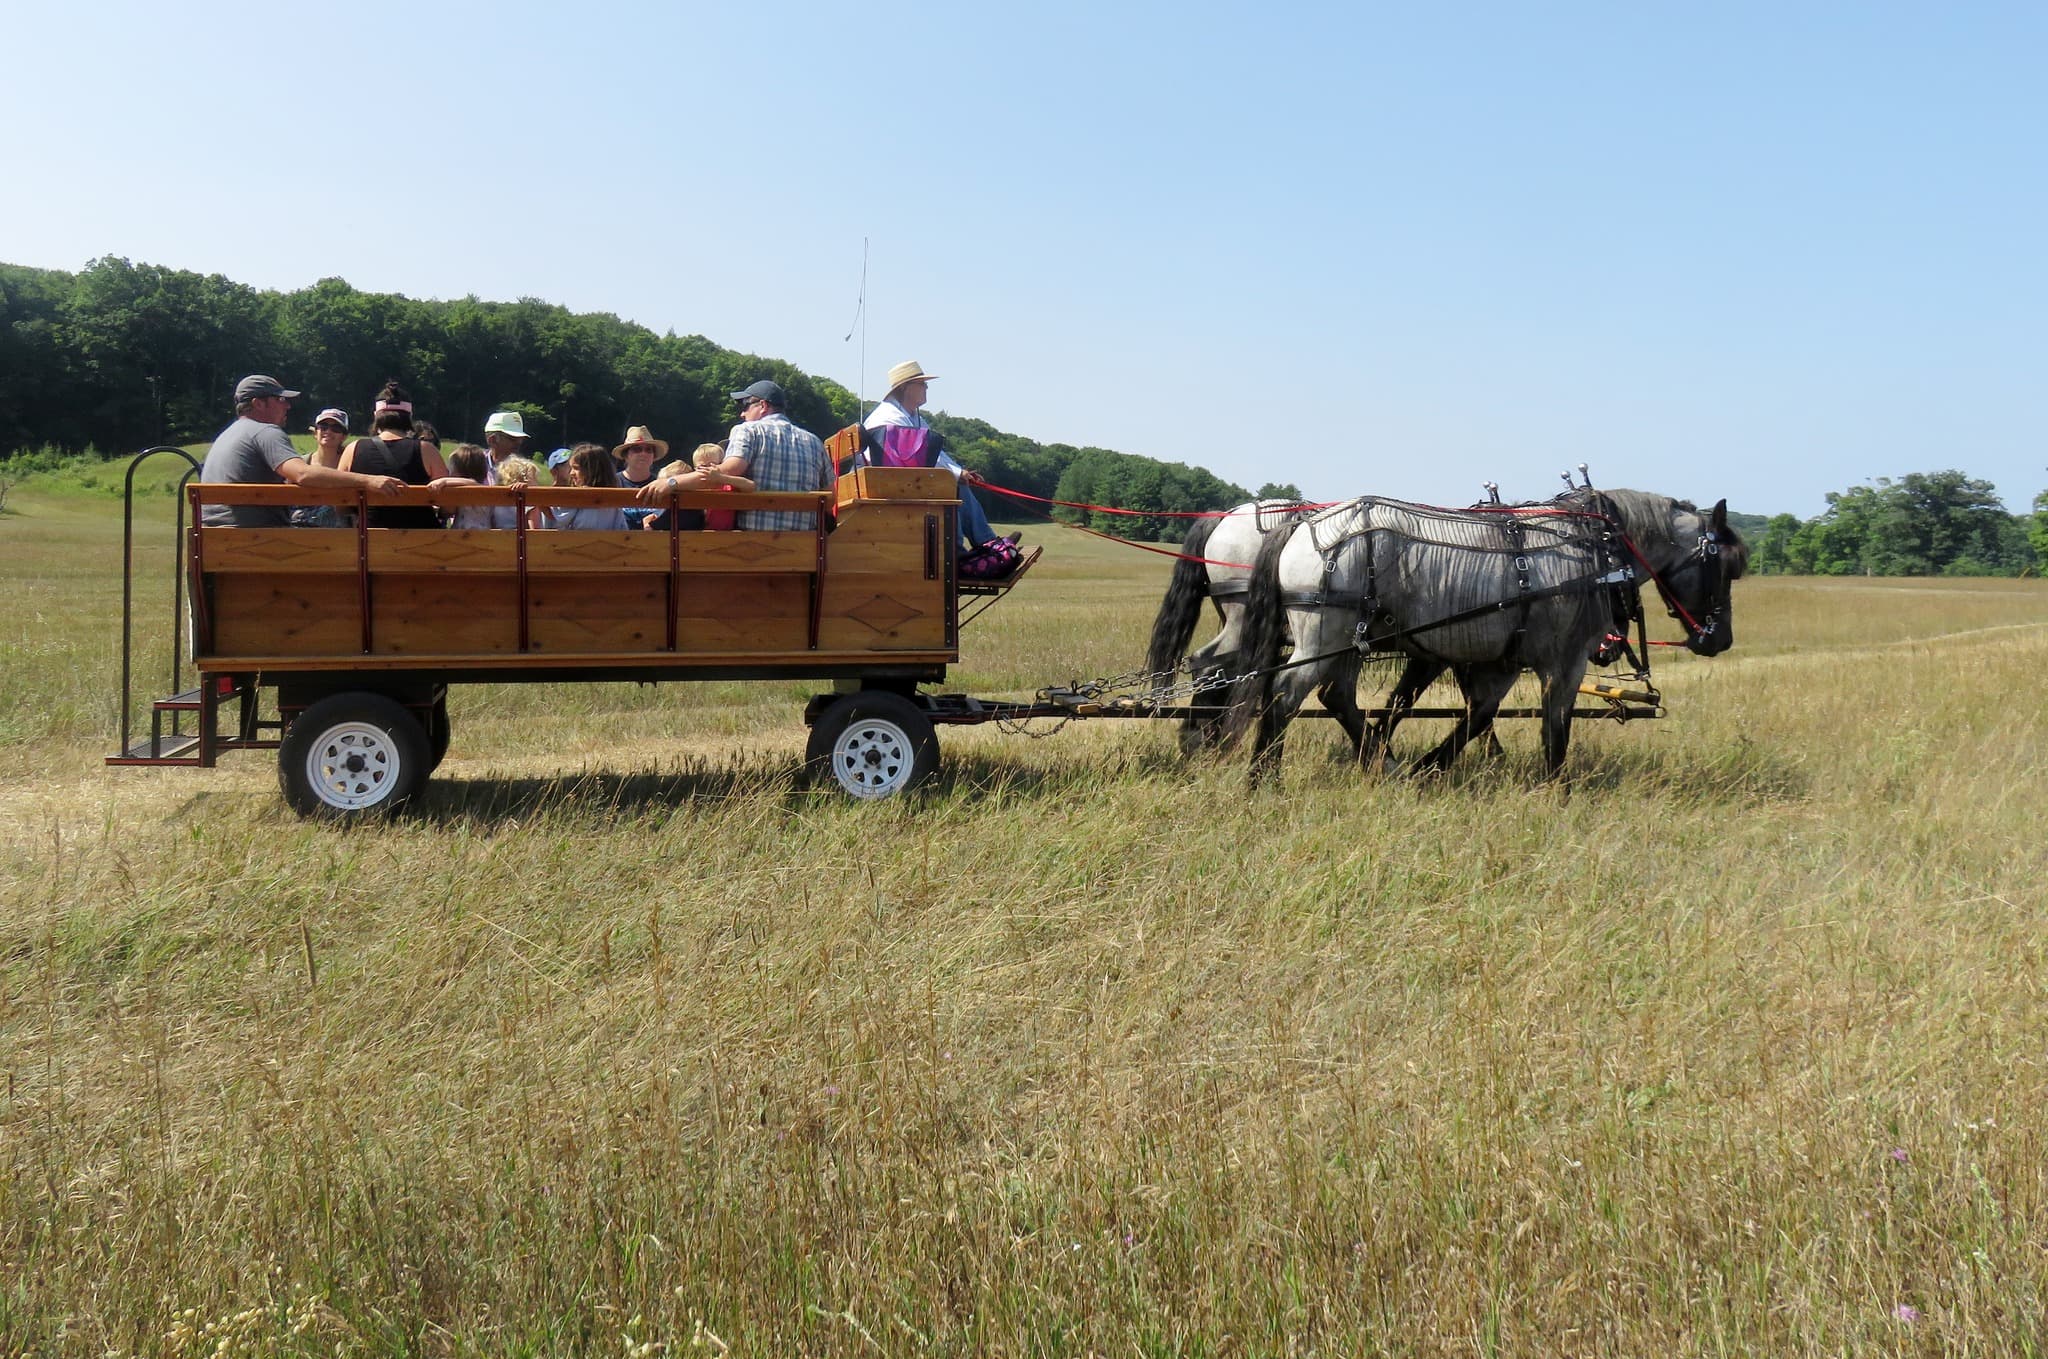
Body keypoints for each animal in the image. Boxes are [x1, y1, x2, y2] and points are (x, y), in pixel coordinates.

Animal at [1223, 489, 1746, 783]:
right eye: (1727, 567)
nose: (1719, 640)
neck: (1596, 551)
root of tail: (1301, 523)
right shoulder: (1565, 660)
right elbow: (1556, 728)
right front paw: (1558, 788)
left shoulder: (1502, 660)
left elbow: (1479, 717)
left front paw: (1429, 768)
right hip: (1323, 637)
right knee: (1284, 696)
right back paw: (1262, 778)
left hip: (1348, 641)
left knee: (1336, 697)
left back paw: (1383, 764)